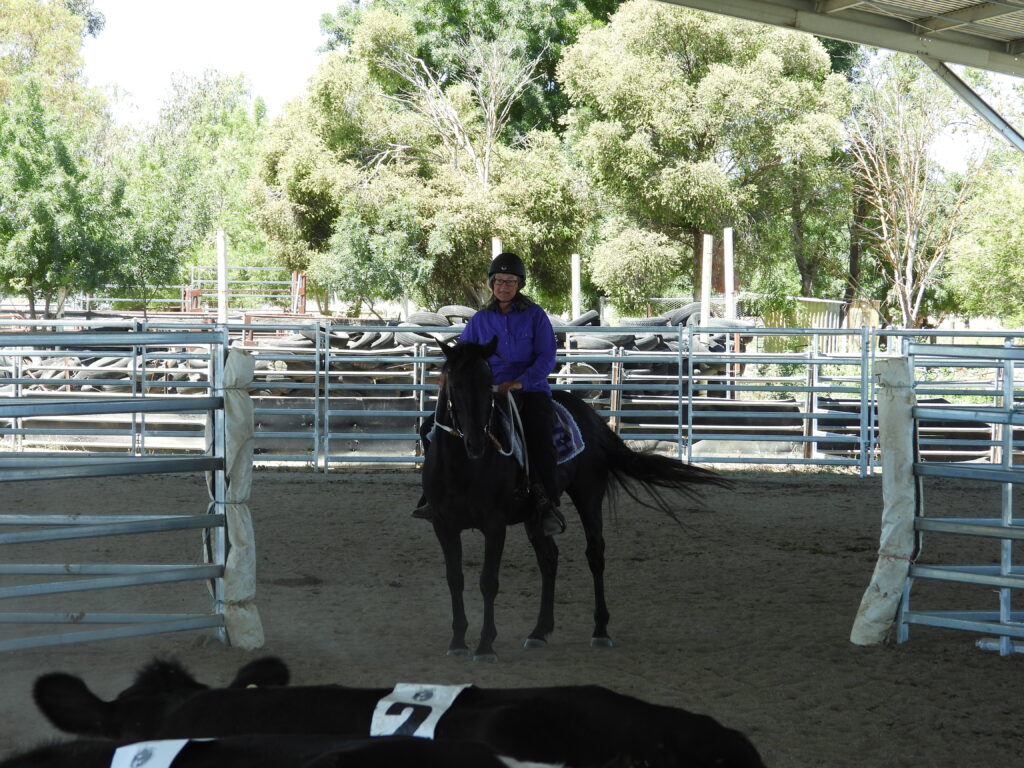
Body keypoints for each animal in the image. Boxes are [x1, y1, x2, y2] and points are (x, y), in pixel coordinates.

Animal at [421, 339, 729, 663]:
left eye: (488, 383)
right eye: (455, 385)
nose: (477, 443)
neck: (463, 468)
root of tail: (594, 419)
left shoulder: (495, 525)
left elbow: (488, 581)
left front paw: (485, 646)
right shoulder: (443, 524)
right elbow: (455, 579)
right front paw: (457, 641)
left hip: (588, 495)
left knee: (595, 554)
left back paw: (600, 630)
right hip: (535, 516)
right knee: (549, 559)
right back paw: (539, 631)